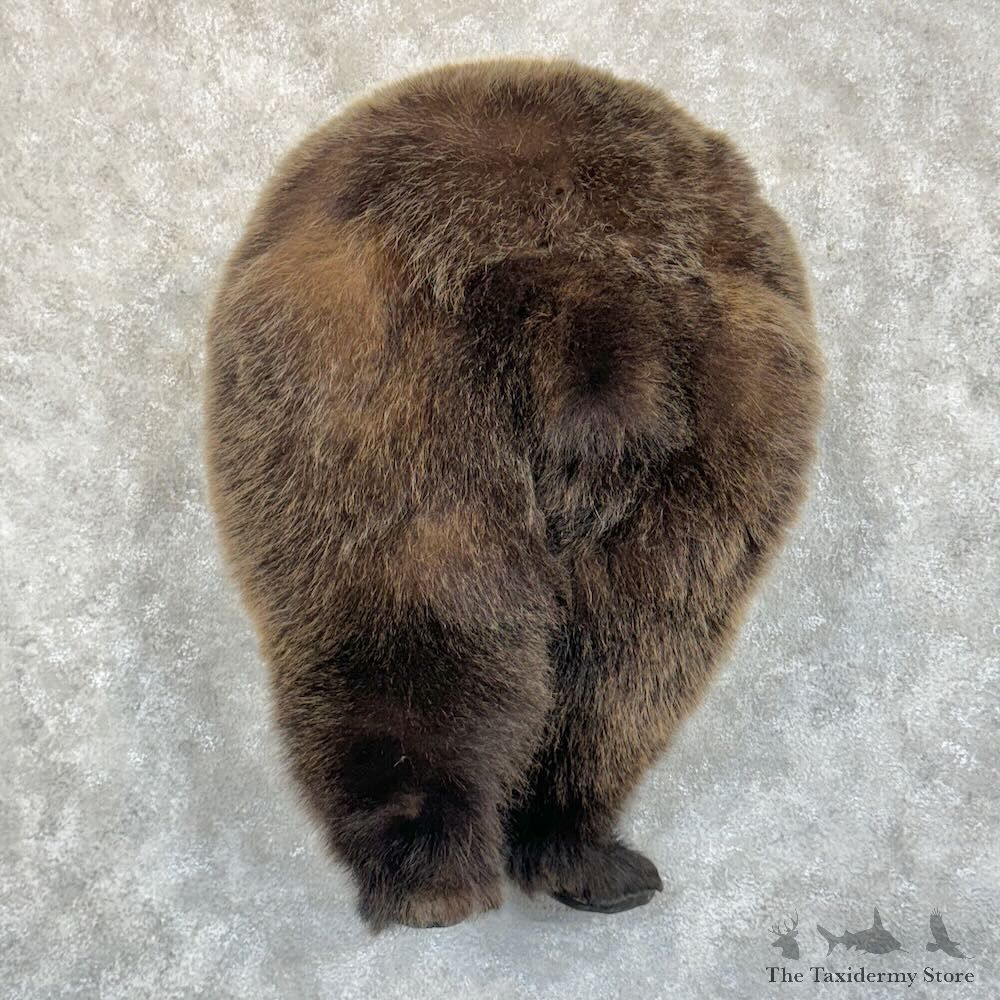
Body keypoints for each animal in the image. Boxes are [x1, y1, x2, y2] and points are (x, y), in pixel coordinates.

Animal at [203, 57, 823, 931]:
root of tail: (577, 284)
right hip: (721, 443)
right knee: (625, 666)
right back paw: (580, 852)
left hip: (377, 401)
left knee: (411, 638)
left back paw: (428, 871)